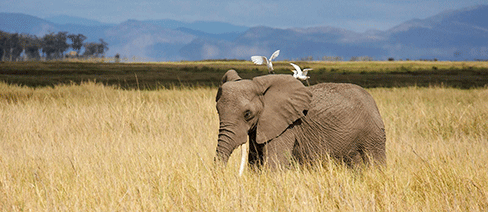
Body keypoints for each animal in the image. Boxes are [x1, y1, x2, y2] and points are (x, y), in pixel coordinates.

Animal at [214, 70, 386, 171]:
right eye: (217, 110)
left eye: (247, 114)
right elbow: (255, 162)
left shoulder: (286, 127)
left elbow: (274, 165)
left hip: (373, 133)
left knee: (375, 162)